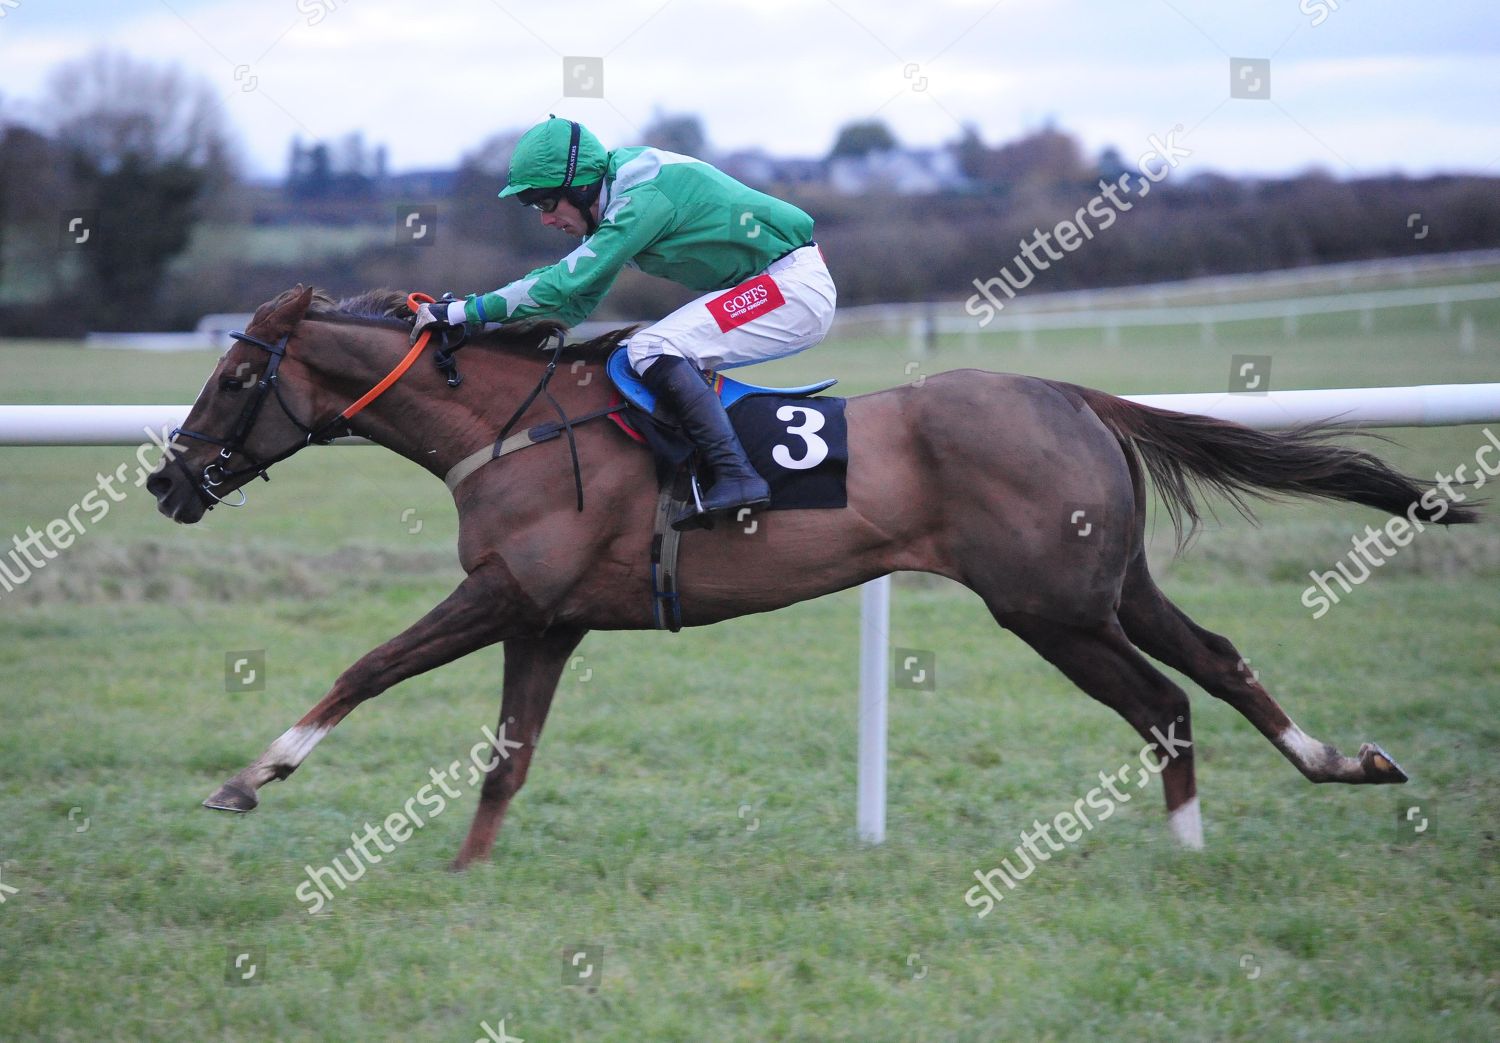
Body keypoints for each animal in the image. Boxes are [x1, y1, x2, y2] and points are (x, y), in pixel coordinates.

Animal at [146, 282, 1482, 870]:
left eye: (233, 380)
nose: (166, 481)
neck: (519, 427)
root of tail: (1066, 391)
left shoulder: (504, 596)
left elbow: (366, 665)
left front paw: (248, 776)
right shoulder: (549, 619)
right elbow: (506, 757)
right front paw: (468, 875)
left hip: (1047, 606)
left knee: (1164, 701)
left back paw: (1189, 848)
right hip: (1109, 584)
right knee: (1219, 660)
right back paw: (1342, 761)